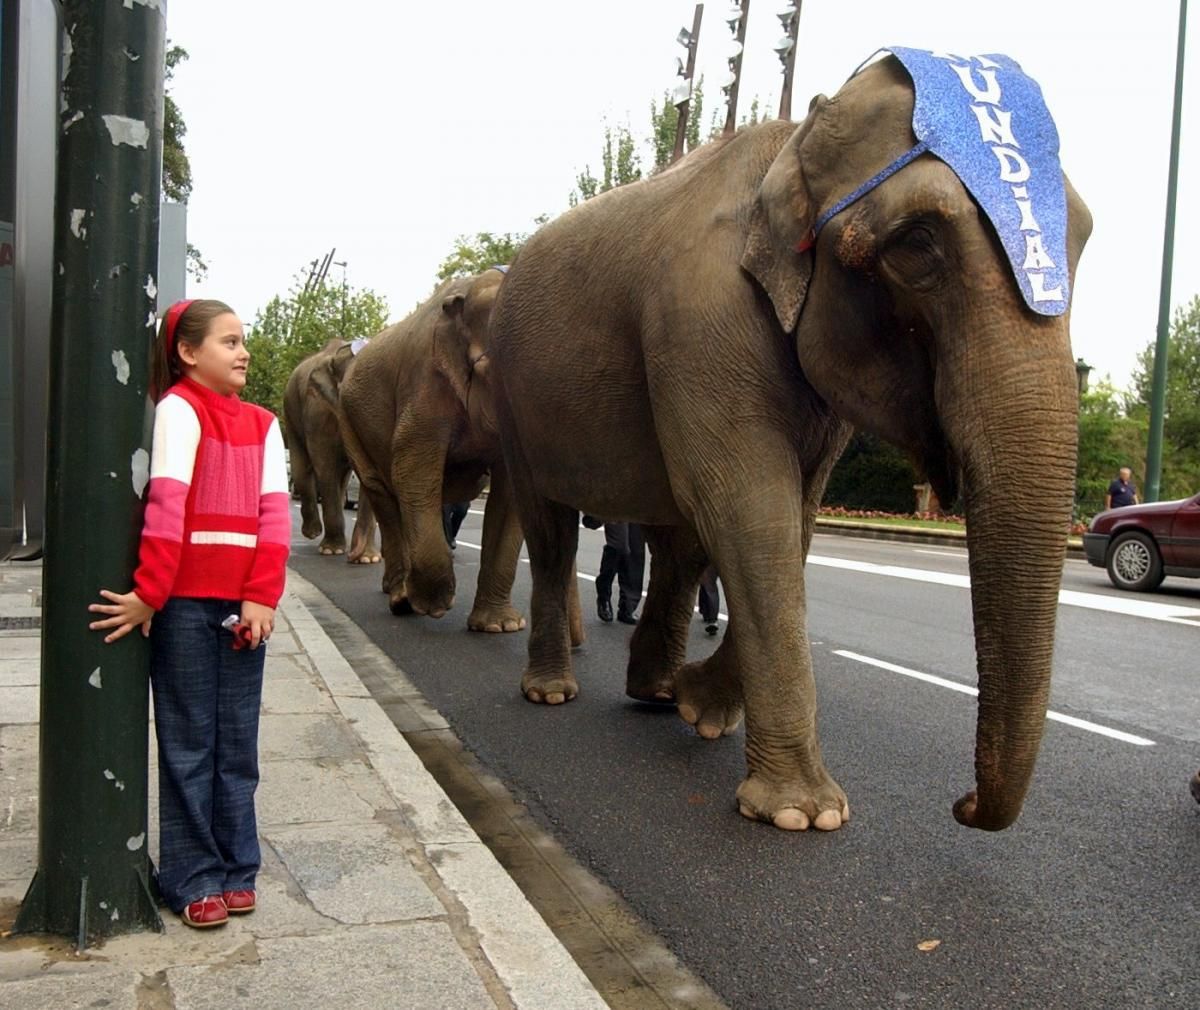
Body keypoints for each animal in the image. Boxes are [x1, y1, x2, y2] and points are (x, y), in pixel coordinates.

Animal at [279, 338, 376, 558]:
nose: (354, 555)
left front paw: (368, 558)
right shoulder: (318, 410)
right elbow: (325, 465)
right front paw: (332, 551)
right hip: (291, 409)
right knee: (302, 469)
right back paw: (313, 533)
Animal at [340, 267, 549, 628]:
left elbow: (510, 492)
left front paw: (500, 626)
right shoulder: (425, 379)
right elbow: (412, 467)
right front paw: (433, 606)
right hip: (349, 421)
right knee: (383, 492)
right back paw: (401, 600)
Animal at [489, 51, 1099, 830]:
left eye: (1084, 238)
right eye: (917, 244)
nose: (962, 805)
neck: (795, 144)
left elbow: (792, 515)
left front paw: (703, 713)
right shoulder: (699, 320)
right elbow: (751, 510)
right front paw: (802, 815)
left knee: (679, 540)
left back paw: (656, 693)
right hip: (514, 395)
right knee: (552, 530)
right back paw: (550, 692)